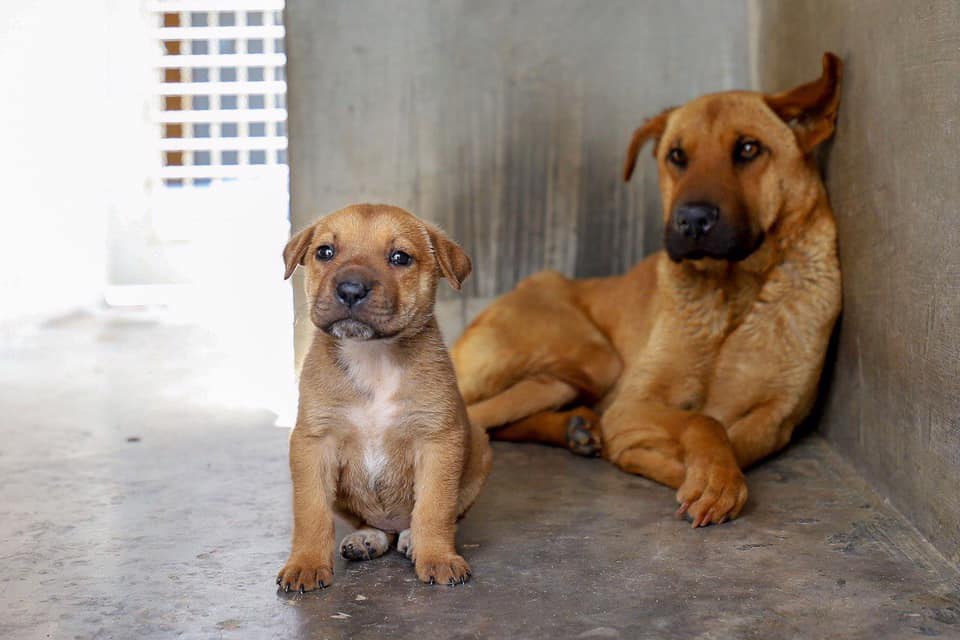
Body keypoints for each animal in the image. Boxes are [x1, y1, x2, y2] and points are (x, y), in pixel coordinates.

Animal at [276, 204, 488, 592]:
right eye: (324, 252)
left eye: (400, 257)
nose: (350, 290)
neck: (373, 357)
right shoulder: (312, 442)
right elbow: (310, 511)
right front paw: (306, 564)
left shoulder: (438, 440)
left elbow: (434, 507)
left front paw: (438, 557)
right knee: (373, 524)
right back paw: (368, 538)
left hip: (478, 446)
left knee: (430, 517)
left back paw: (411, 539)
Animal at [450, 53, 840, 524]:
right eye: (677, 156)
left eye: (748, 149)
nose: (691, 220)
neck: (735, 294)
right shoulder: (634, 402)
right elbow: (702, 421)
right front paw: (701, 473)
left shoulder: (778, 418)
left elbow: (734, 439)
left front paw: (708, 473)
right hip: (593, 360)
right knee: (471, 415)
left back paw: (576, 428)